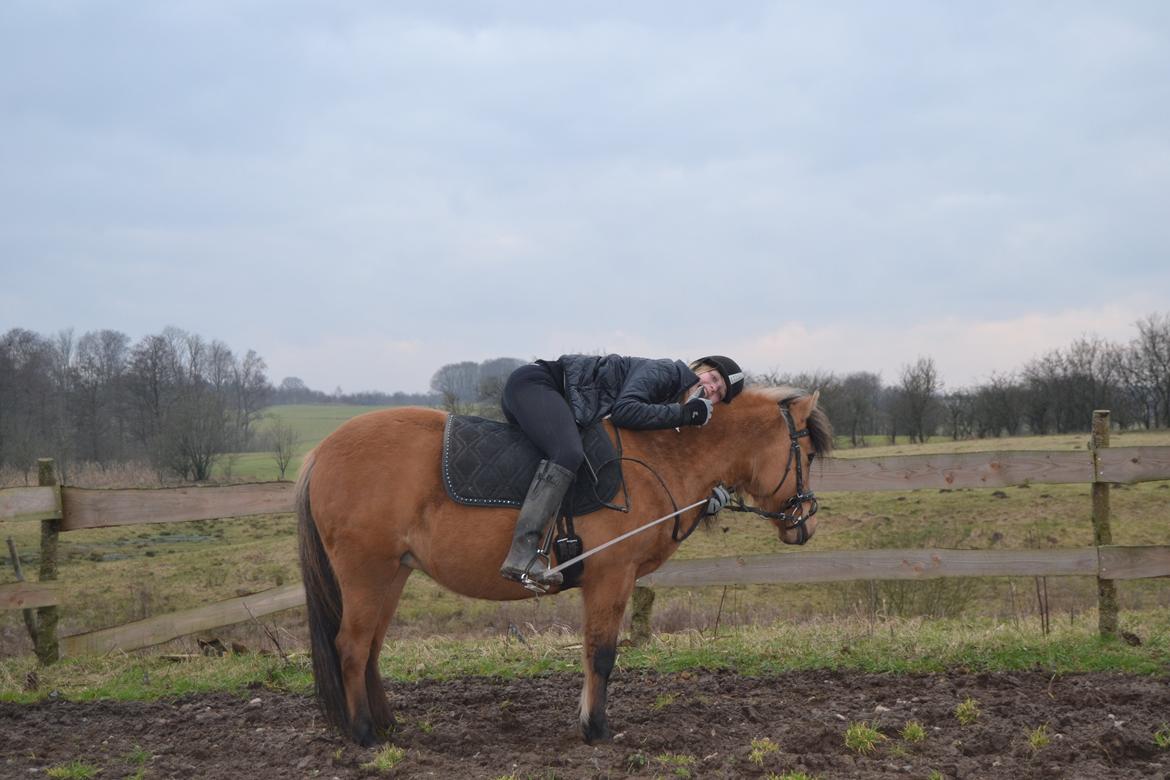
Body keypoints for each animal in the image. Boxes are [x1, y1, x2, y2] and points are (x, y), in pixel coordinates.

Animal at [297, 388, 837, 748]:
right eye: (807, 453)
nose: (806, 522)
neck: (658, 456)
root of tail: (320, 451)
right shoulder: (611, 577)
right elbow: (601, 654)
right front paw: (595, 729)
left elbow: (591, 655)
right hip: (367, 574)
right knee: (351, 648)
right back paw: (365, 735)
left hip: (391, 575)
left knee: (370, 649)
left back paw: (385, 725)